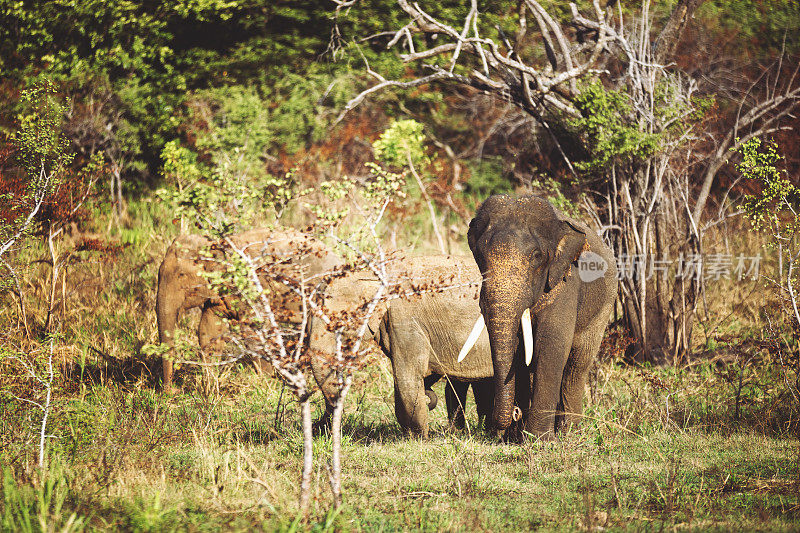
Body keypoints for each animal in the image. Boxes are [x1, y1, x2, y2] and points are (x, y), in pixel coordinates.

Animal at [156, 227, 344, 392]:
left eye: (181, 276)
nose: (173, 391)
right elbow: (209, 331)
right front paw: (209, 384)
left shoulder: (250, 286)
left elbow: (256, 332)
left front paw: (267, 384)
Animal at [456, 195, 620, 440]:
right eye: (480, 255)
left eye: (537, 256)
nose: (514, 414)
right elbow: (519, 353)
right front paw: (516, 438)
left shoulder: (564, 283)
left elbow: (550, 345)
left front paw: (539, 440)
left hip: (603, 308)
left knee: (576, 367)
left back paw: (569, 433)